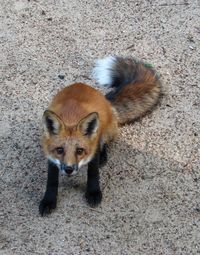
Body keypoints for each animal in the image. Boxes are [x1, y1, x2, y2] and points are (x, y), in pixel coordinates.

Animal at [39, 55, 161, 215]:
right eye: (60, 150)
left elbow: (93, 173)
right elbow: (51, 180)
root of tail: (105, 99)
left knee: (105, 143)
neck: (71, 118)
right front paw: (49, 200)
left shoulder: (93, 148)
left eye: (79, 151)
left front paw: (93, 192)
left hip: (107, 131)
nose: (69, 170)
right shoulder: (52, 157)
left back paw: (103, 156)